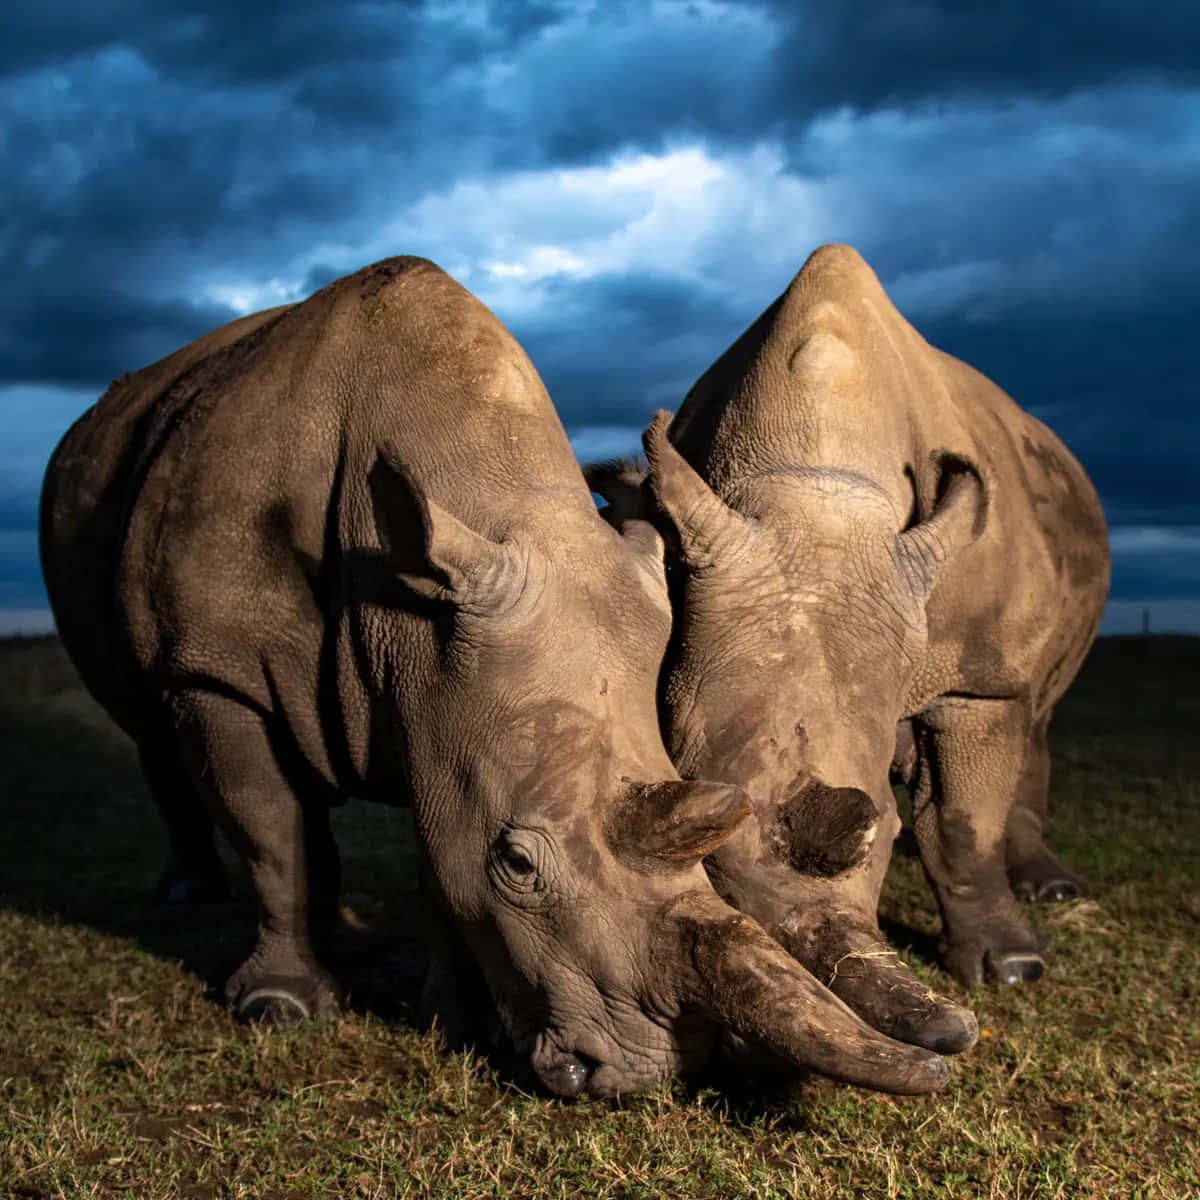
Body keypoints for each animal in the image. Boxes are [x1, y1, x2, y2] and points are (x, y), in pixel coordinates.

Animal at [39, 255, 955, 1097]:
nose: (632, 1078)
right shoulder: (218, 671)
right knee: (154, 730)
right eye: (516, 864)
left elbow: (439, 853)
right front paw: (281, 1007)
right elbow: (272, 834)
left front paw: (453, 1016)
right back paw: (194, 898)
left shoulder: (438, 690)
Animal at [588, 245, 1109, 1050]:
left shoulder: (972, 676)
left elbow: (963, 821)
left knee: (1039, 709)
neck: (819, 486)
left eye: (884, 833)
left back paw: (1047, 892)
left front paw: (1013, 970)